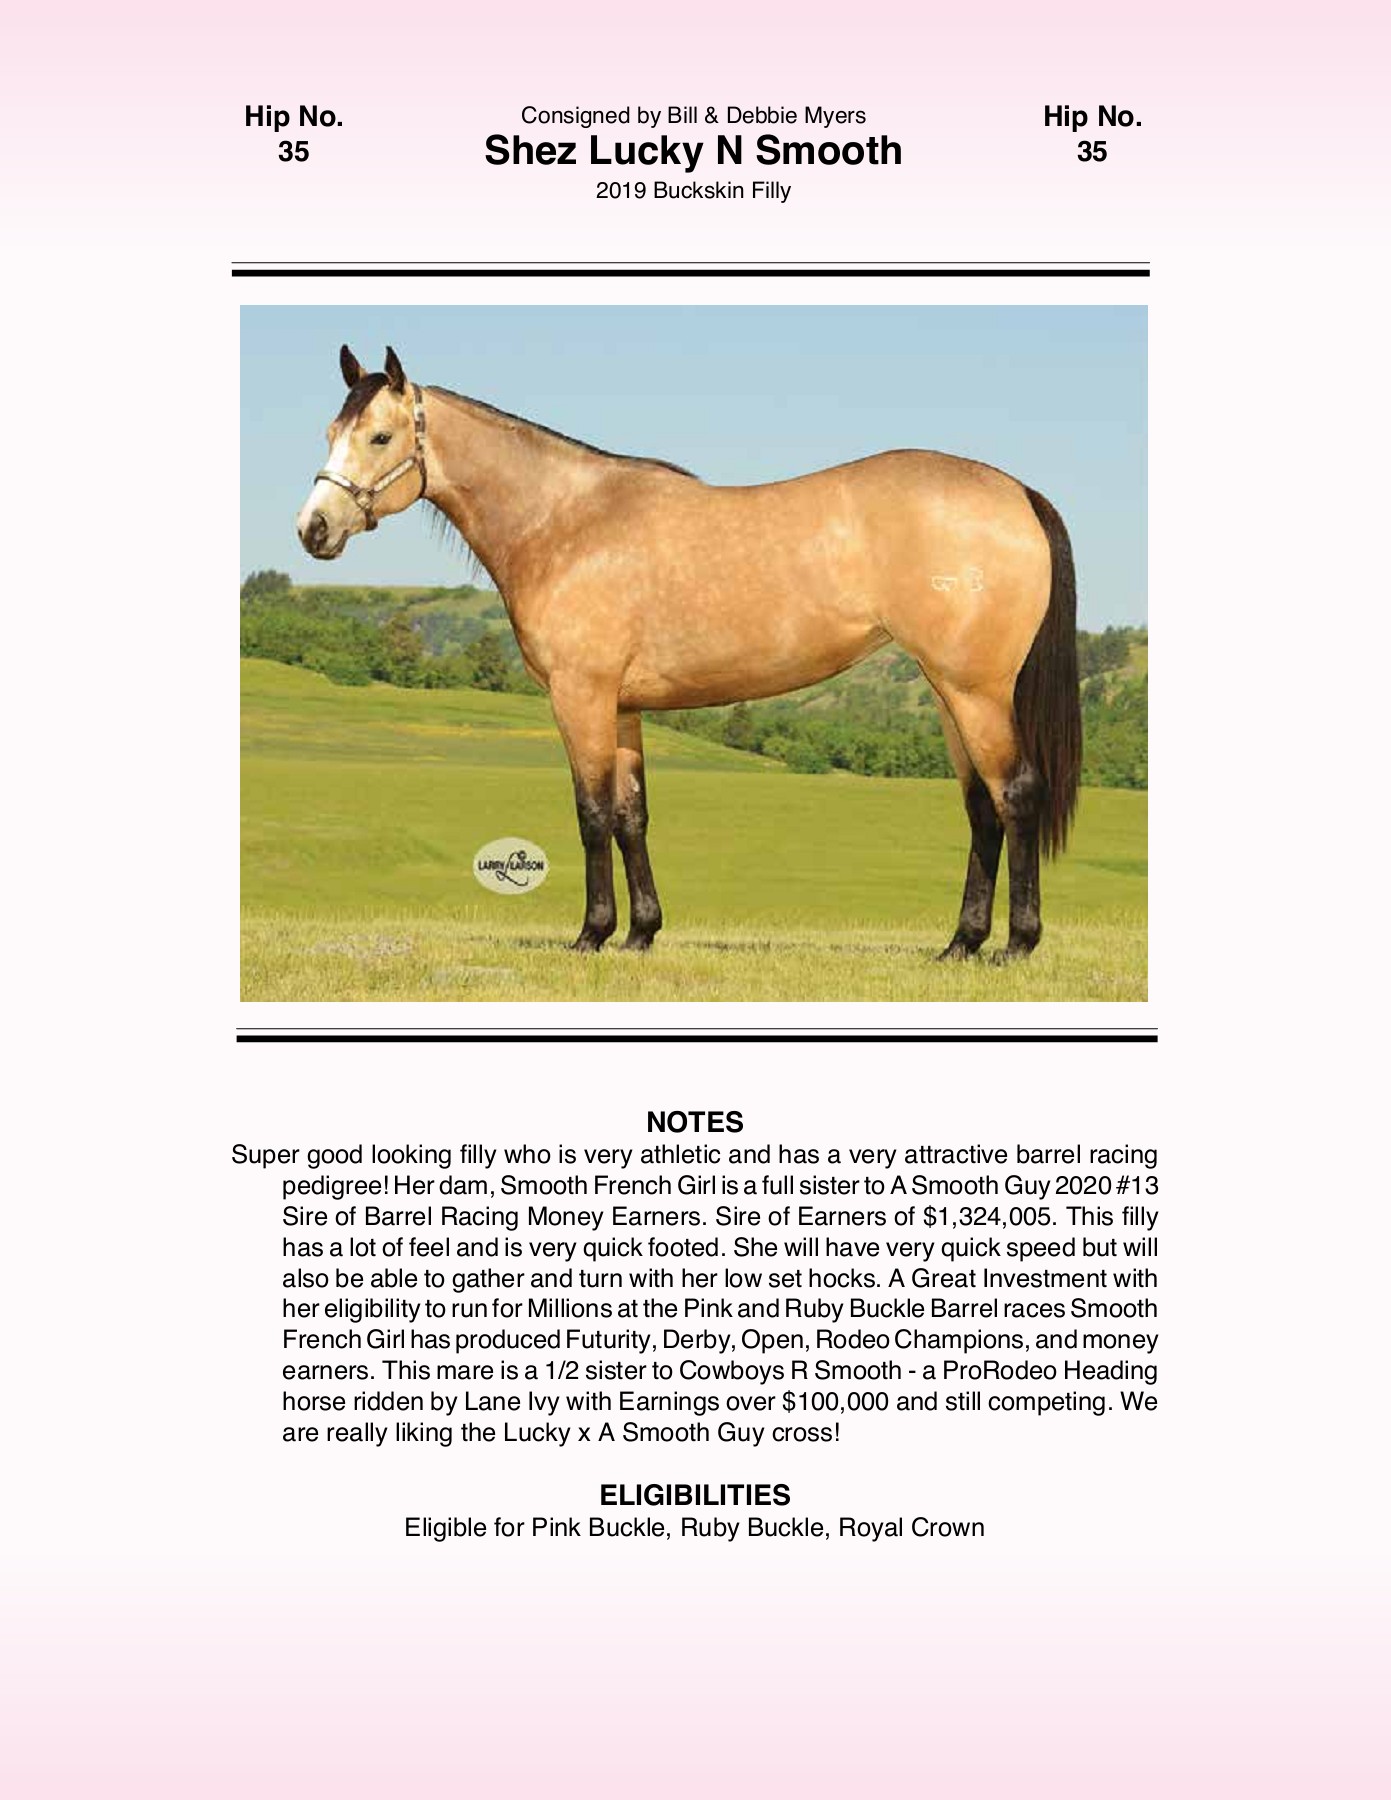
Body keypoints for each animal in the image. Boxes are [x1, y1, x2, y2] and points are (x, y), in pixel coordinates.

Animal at [296, 346, 1081, 959]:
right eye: (332, 430)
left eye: (380, 436)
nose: (314, 528)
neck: (567, 523)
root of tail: (1016, 491)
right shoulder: (622, 709)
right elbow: (630, 816)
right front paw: (641, 933)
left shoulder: (579, 696)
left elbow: (590, 814)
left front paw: (591, 934)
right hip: (950, 693)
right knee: (981, 808)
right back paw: (960, 944)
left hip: (975, 691)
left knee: (1016, 794)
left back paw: (1016, 944)